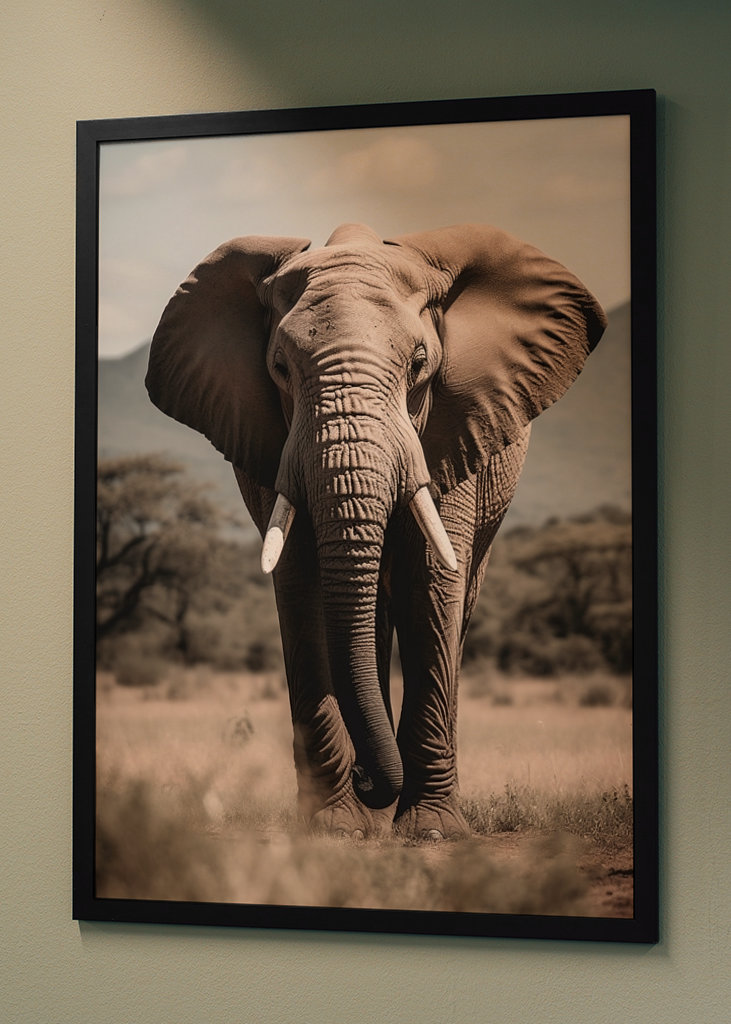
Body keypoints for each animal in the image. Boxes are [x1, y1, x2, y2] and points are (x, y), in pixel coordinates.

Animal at [146, 222, 606, 840]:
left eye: (419, 364)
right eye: (280, 368)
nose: (368, 777)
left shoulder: (453, 429)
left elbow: (430, 585)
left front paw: (431, 832)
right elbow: (303, 587)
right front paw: (337, 827)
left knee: (455, 607)